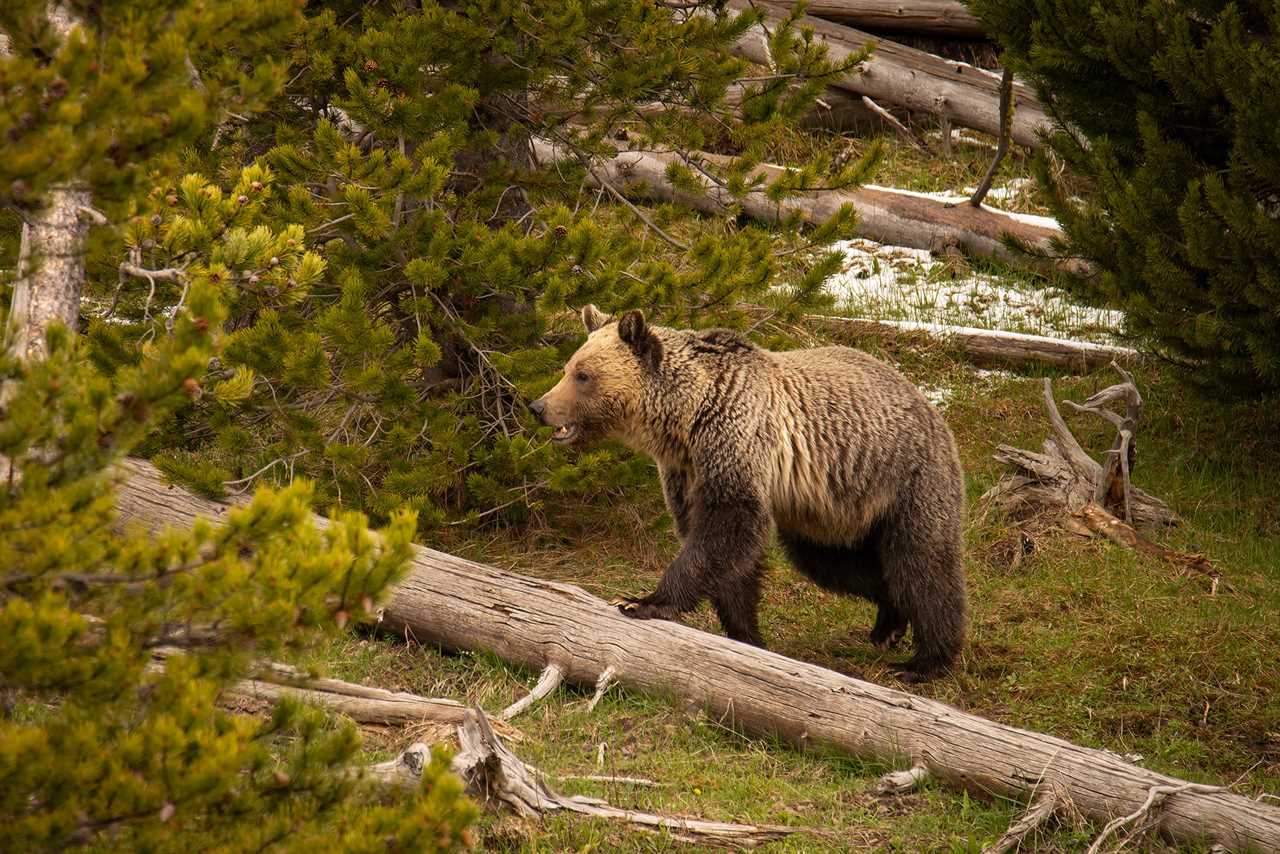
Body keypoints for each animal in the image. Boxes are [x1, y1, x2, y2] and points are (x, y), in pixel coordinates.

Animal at [524, 307, 962, 681]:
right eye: (568, 368)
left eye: (583, 375)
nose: (538, 406)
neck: (685, 420)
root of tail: (927, 401)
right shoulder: (687, 472)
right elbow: (727, 557)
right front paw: (747, 635)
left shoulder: (735, 442)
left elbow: (726, 529)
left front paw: (643, 601)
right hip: (829, 511)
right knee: (836, 562)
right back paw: (890, 622)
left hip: (907, 477)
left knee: (922, 562)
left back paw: (927, 661)